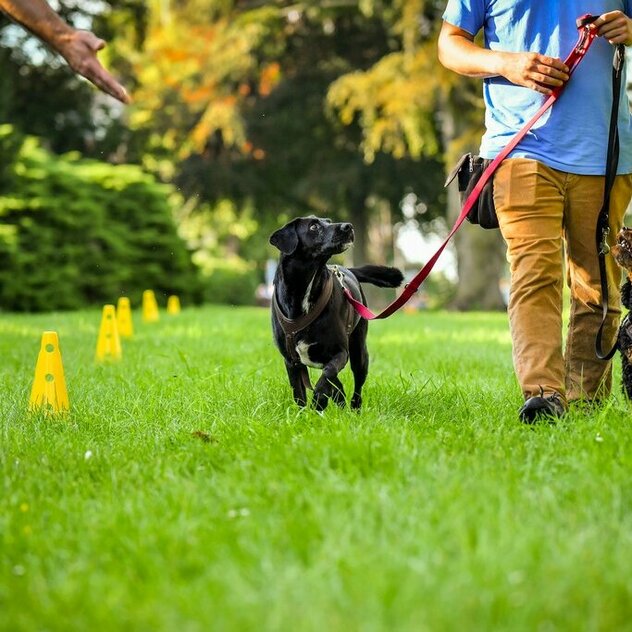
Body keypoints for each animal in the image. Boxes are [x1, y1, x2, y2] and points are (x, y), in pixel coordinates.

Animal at [270, 217, 402, 410]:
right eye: (314, 226)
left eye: (328, 221)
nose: (348, 226)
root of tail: (347, 269)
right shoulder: (291, 361)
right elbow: (299, 393)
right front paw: (304, 413)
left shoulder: (340, 352)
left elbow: (327, 375)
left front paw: (319, 399)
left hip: (359, 353)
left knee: (356, 387)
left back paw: (353, 407)